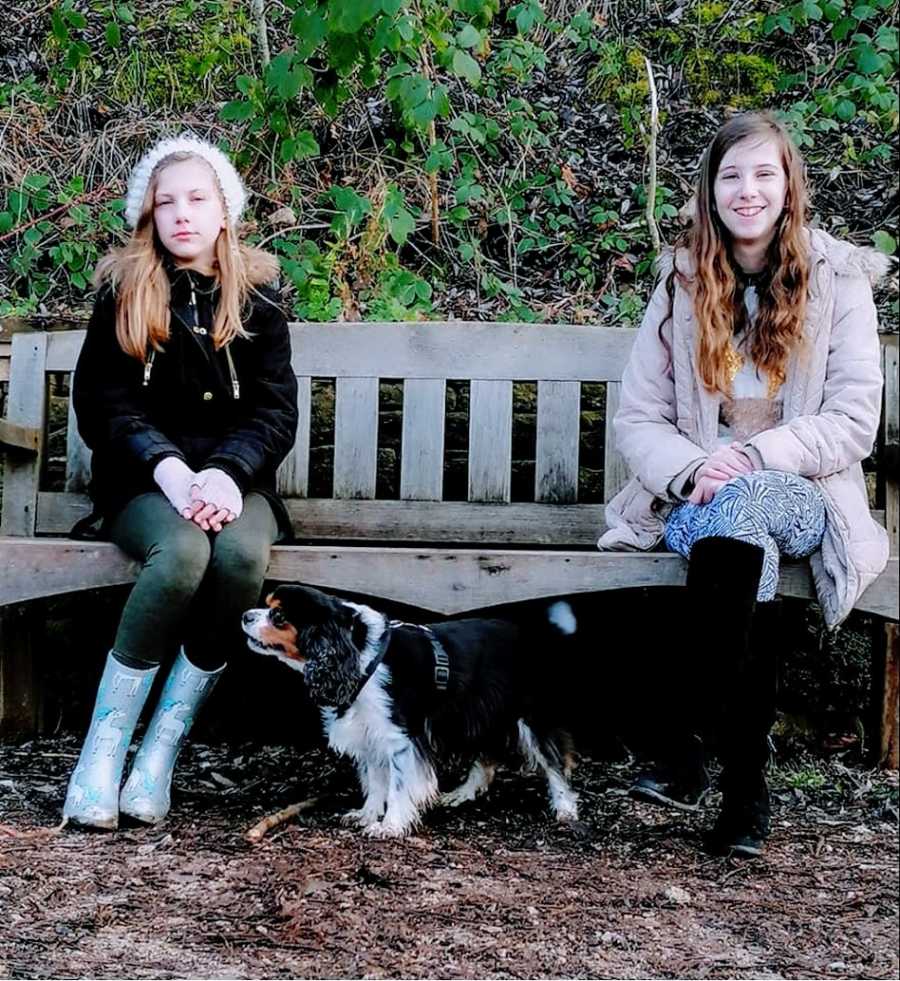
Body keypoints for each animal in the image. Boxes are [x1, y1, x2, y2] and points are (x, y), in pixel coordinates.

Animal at [241, 584, 576, 840]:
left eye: (278, 615)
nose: (245, 615)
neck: (360, 654)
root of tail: (533, 635)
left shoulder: (400, 739)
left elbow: (397, 786)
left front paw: (389, 826)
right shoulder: (371, 735)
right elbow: (376, 782)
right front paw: (366, 814)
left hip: (531, 717)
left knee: (554, 762)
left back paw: (565, 808)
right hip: (481, 715)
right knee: (487, 759)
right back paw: (462, 793)